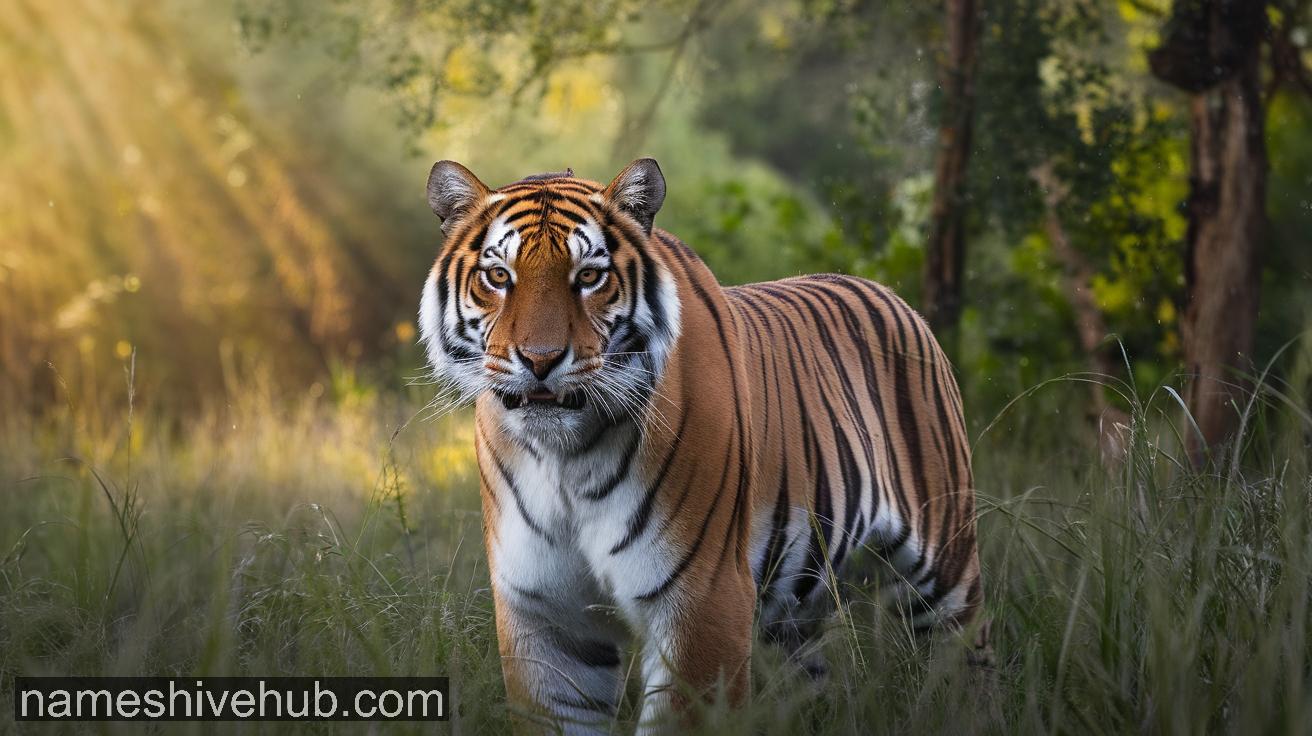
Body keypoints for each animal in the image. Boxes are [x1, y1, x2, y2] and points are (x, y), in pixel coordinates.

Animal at [417, 158, 987, 734]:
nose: (540, 360)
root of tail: (889, 294)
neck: (565, 458)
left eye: (589, 276)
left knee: (965, 662)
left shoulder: (702, 601)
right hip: (794, 619)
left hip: (946, 569)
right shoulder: (544, 616)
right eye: (498, 276)